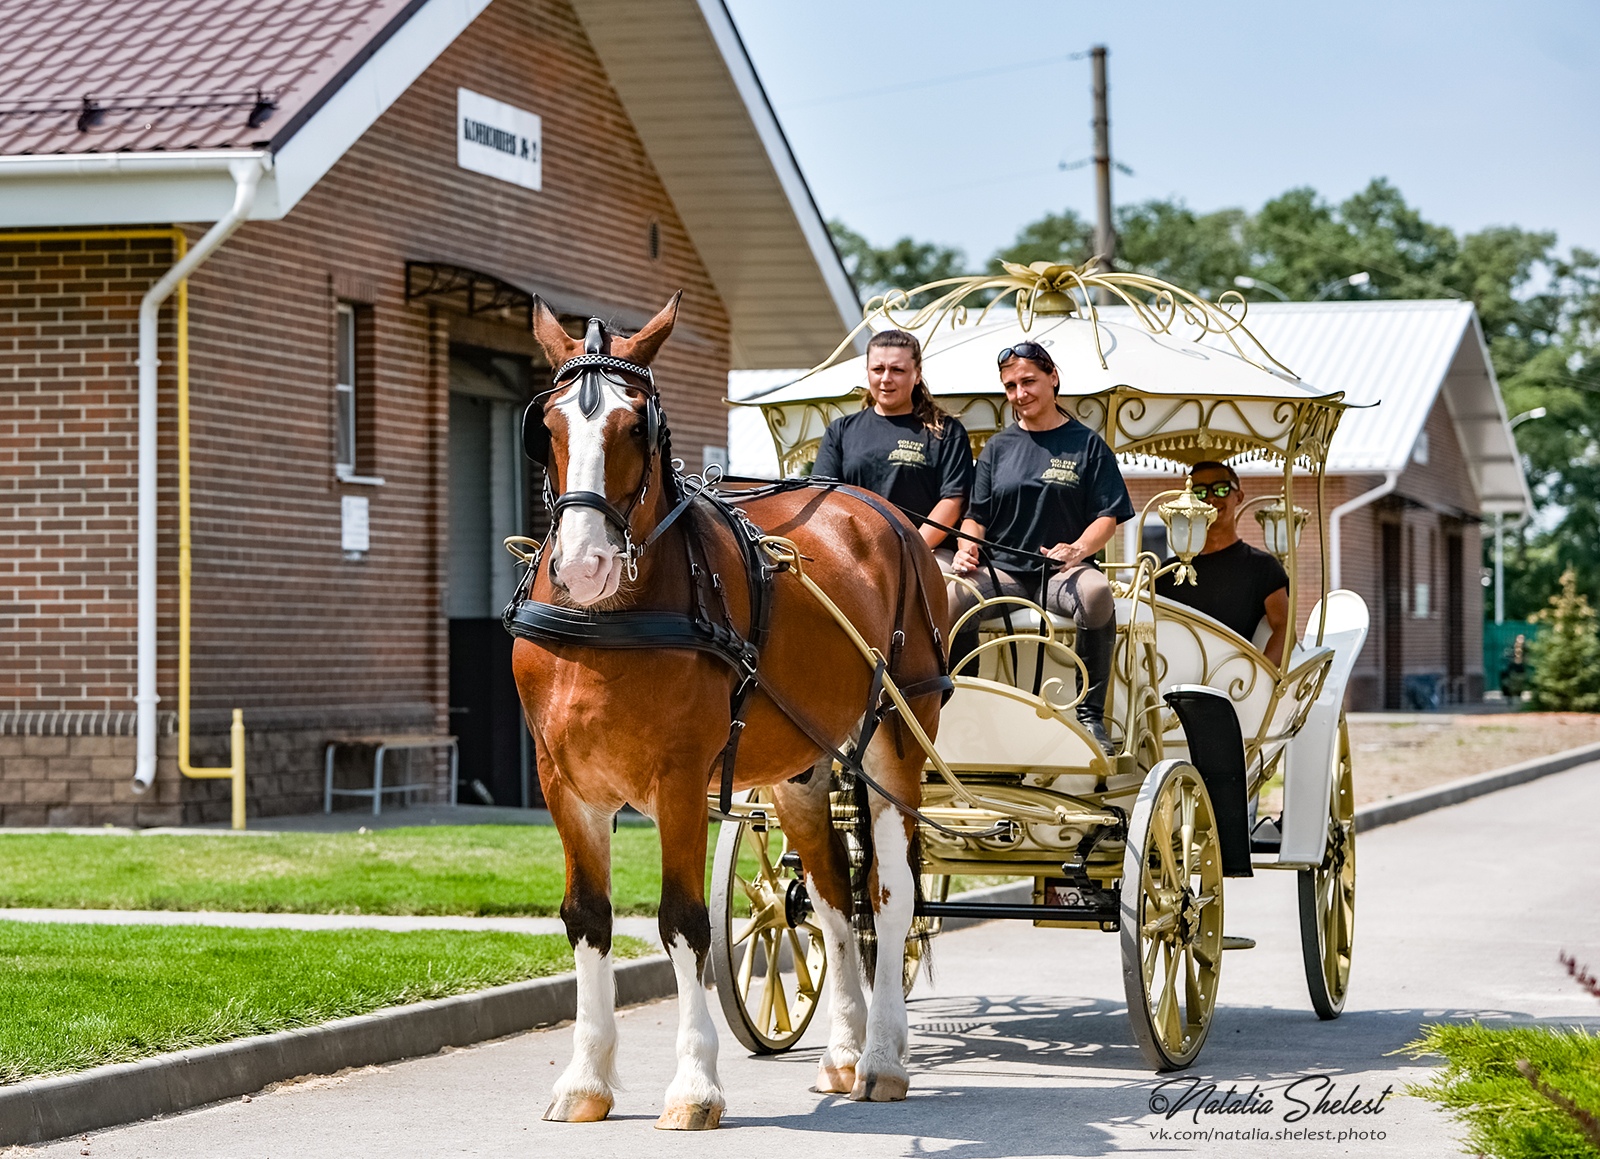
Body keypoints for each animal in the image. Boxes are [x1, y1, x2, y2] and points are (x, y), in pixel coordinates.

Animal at [505, 294, 940, 1126]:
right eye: (546, 427)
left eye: (635, 427)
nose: (583, 564)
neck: (610, 619)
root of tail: (878, 510)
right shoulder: (562, 782)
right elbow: (588, 917)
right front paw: (585, 1078)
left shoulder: (679, 780)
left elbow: (683, 921)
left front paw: (695, 1084)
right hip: (801, 767)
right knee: (831, 901)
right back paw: (842, 1049)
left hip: (897, 741)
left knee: (890, 895)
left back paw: (881, 1058)